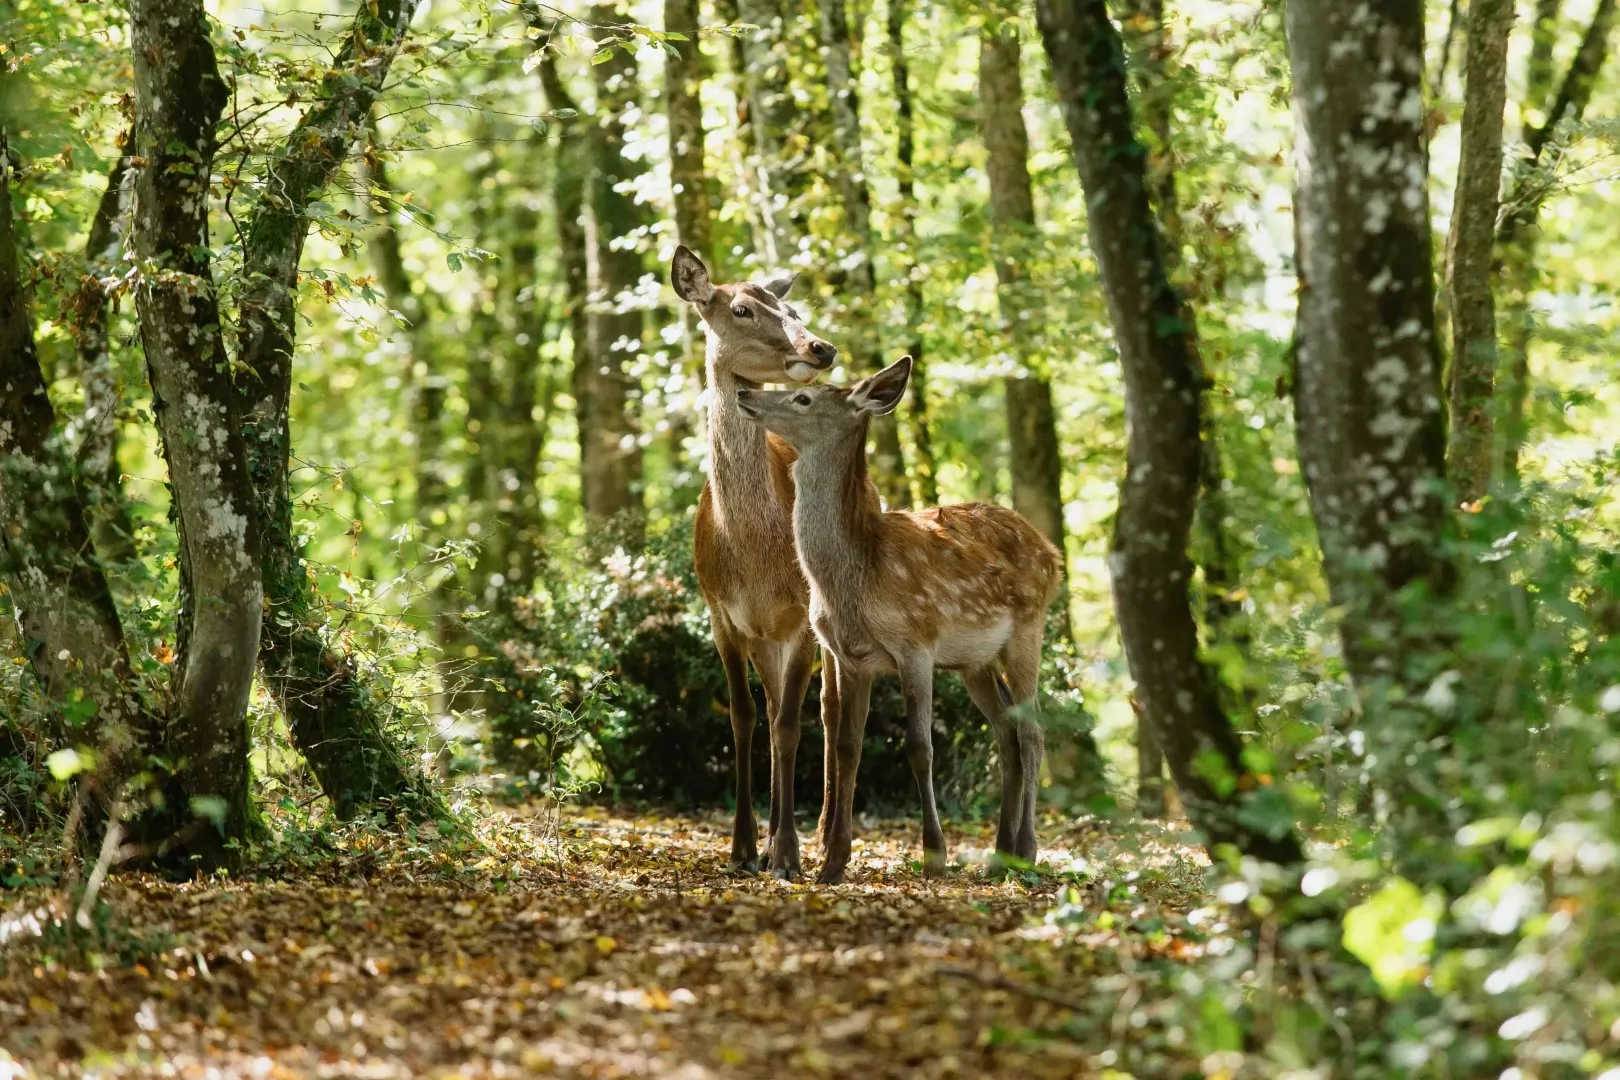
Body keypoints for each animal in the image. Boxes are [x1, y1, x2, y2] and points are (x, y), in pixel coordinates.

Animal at [673, 242, 848, 880]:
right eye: (743, 309)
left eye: (792, 306)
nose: (820, 346)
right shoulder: (720, 614)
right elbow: (744, 716)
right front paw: (744, 847)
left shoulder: (800, 617)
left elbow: (793, 725)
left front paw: (789, 854)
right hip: (763, 637)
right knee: (772, 709)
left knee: (826, 708)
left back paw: (822, 836)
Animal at [735, 359, 1062, 880]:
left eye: (804, 398)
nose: (745, 393)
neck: (856, 577)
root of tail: (1053, 552)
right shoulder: (851, 656)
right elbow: (847, 746)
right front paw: (832, 862)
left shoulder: (916, 643)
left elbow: (919, 746)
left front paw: (934, 855)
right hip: (974, 662)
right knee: (1006, 732)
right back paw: (999, 855)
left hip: (1029, 627)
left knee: (1032, 731)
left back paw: (1027, 851)